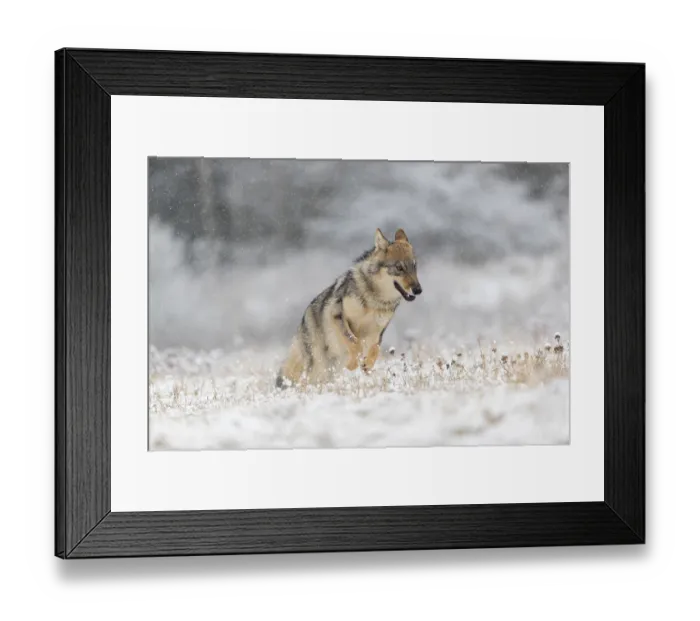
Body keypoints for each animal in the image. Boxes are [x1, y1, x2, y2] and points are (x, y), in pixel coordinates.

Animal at [276, 228, 422, 387]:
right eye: (399, 267)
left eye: (414, 266)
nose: (418, 290)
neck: (374, 300)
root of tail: (303, 320)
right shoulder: (338, 315)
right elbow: (355, 343)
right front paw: (353, 365)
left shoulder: (378, 331)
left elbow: (375, 349)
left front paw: (367, 365)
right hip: (318, 365)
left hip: (330, 369)